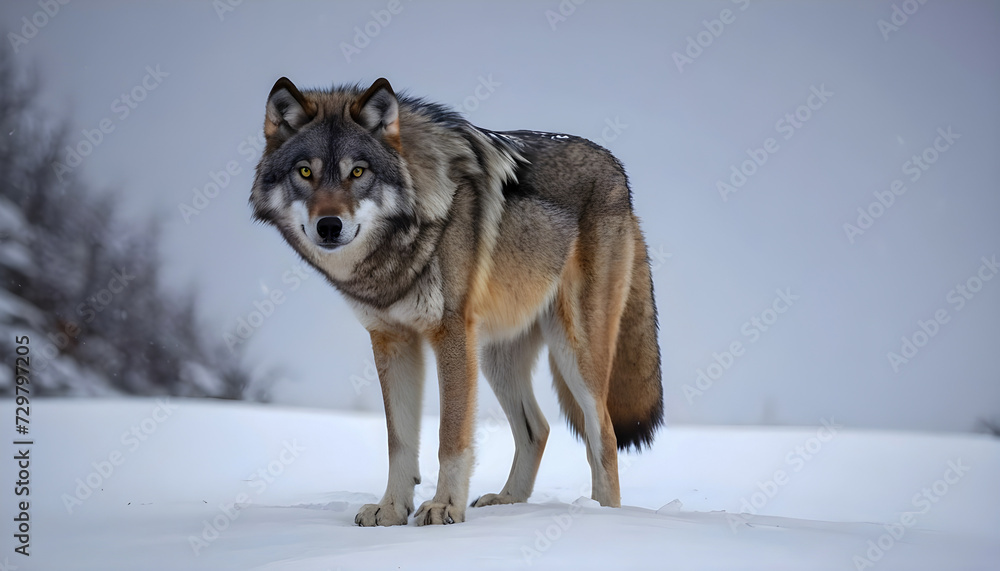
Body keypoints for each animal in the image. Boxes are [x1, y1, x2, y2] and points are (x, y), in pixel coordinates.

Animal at [250, 77, 663, 526]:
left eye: (357, 172)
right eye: (305, 172)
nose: (329, 226)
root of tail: (619, 173)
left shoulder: (449, 333)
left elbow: (451, 436)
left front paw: (444, 507)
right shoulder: (391, 340)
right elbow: (399, 441)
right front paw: (390, 510)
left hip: (574, 351)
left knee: (601, 431)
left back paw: (604, 517)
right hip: (496, 356)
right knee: (537, 429)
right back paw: (508, 502)